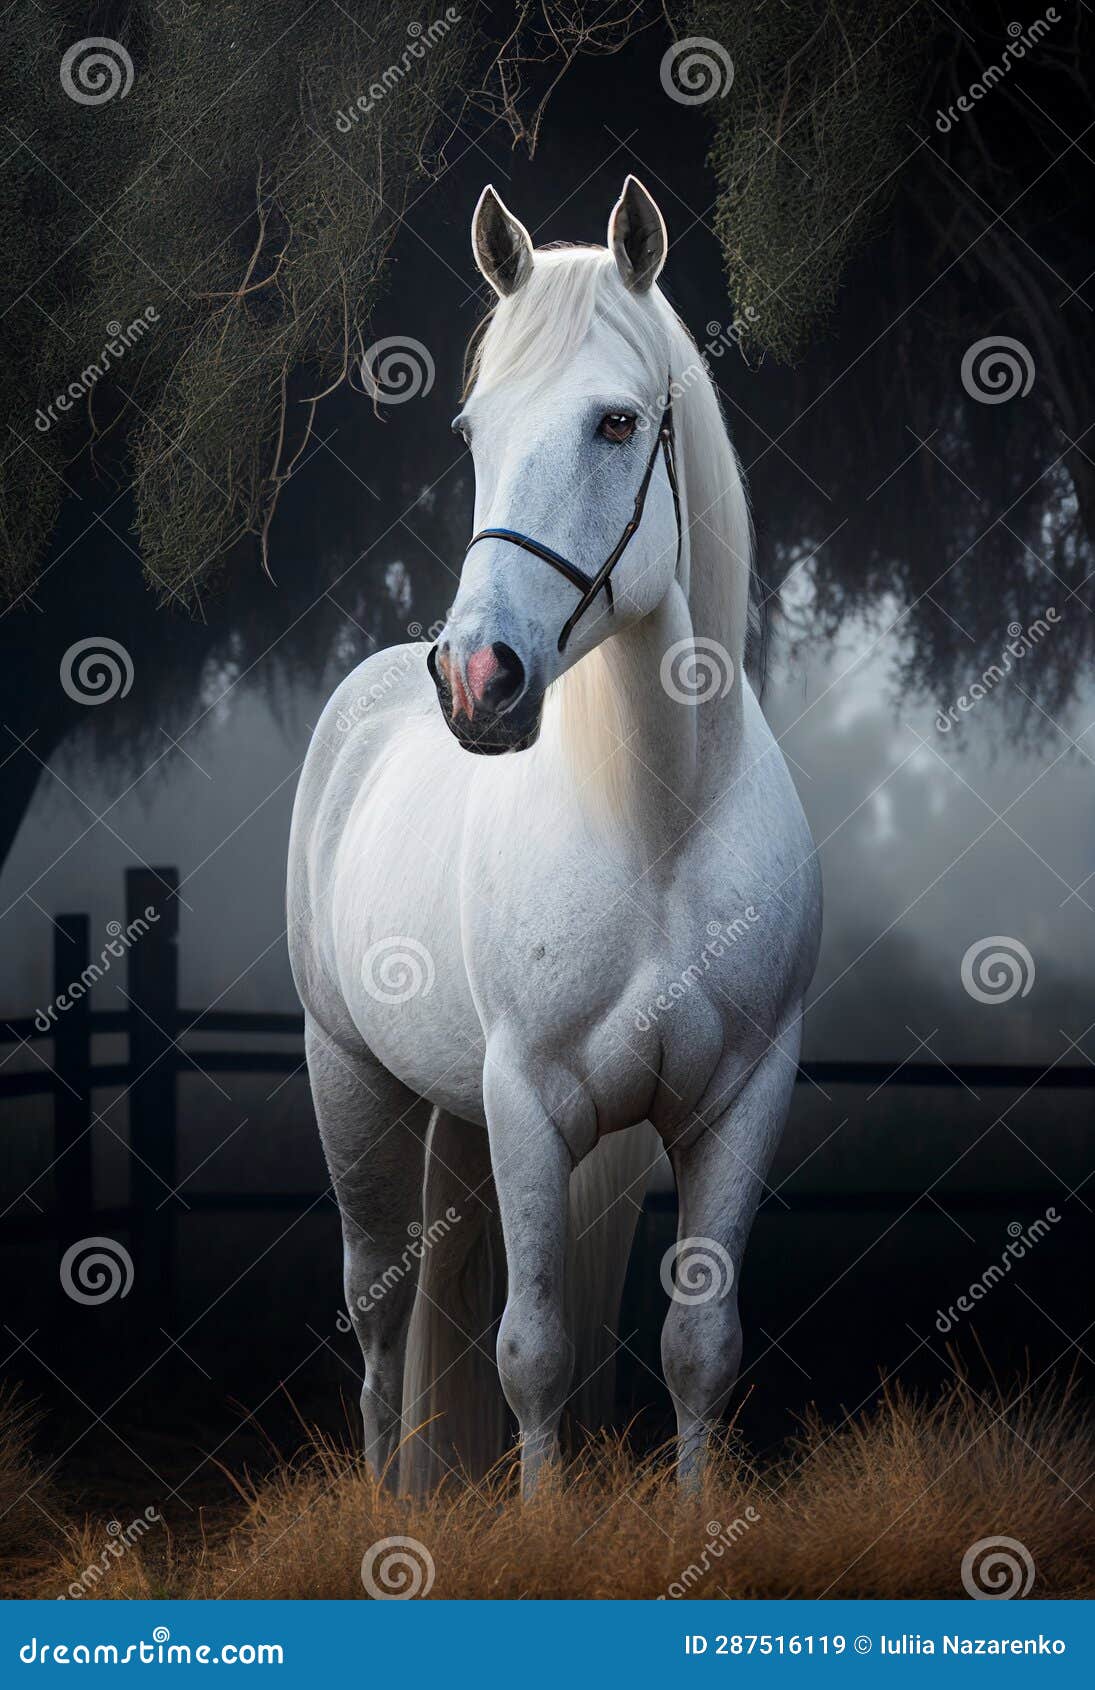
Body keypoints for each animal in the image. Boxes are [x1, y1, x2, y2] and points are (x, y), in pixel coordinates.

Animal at [287, 177, 822, 1499]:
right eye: (475, 430)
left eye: (617, 423)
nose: (476, 679)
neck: (659, 823)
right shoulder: (530, 1099)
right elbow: (532, 1351)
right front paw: (540, 1523)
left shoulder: (742, 1101)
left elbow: (697, 1346)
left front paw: (692, 1520)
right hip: (353, 1084)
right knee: (378, 1316)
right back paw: (383, 1499)